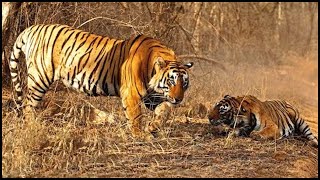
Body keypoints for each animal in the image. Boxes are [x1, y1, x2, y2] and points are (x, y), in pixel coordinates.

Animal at [10, 23, 194, 139]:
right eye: (171, 81)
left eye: (184, 83)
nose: (178, 99)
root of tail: (32, 28)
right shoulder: (131, 94)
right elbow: (135, 116)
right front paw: (139, 134)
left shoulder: (153, 97)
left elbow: (165, 110)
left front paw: (153, 127)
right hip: (39, 78)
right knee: (28, 105)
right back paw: (33, 126)